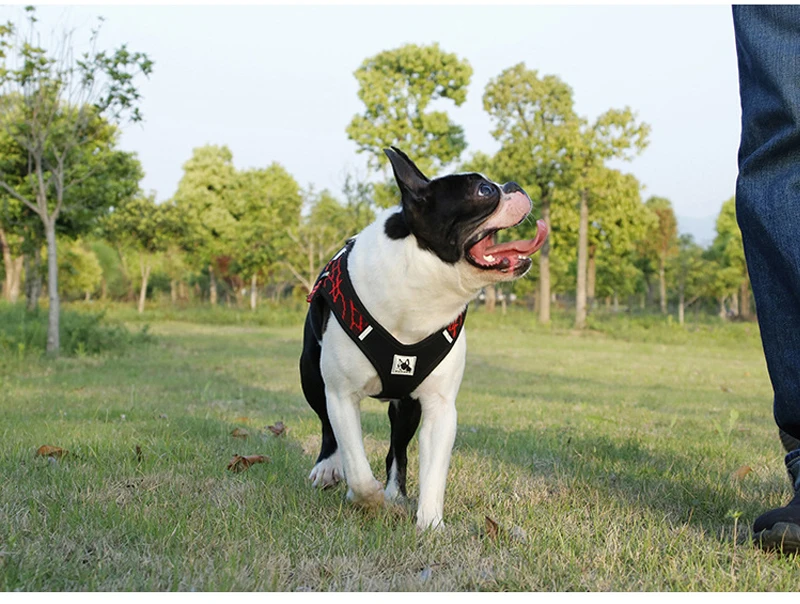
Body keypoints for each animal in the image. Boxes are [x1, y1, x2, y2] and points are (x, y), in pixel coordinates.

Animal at [296, 149, 548, 532]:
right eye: (485, 190)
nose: (514, 184)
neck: (423, 285)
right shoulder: (341, 395)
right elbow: (357, 464)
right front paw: (366, 498)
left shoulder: (439, 408)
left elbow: (433, 473)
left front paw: (430, 525)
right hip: (311, 376)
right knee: (329, 427)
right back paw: (329, 468)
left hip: (406, 407)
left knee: (397, 450)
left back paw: (395, 494)